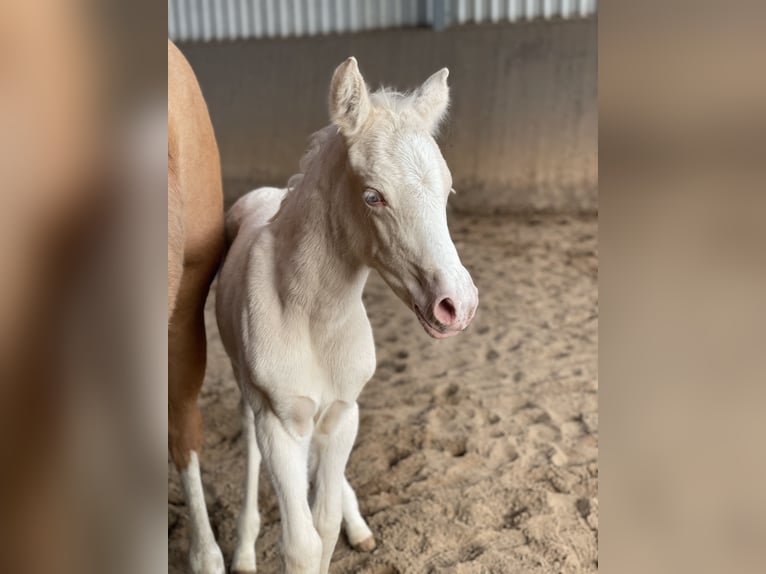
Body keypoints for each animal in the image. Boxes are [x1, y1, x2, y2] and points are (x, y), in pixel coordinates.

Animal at [216, 55, 476, 574]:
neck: (311, 317)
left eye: (448, 190)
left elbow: (326, 524)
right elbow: (301, 543)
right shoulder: (279, 422)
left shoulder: (342, 413)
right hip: (246, 387)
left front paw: (349, 524)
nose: (457, 305)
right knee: (251, 446)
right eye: (373, 196)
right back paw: (243, 550)